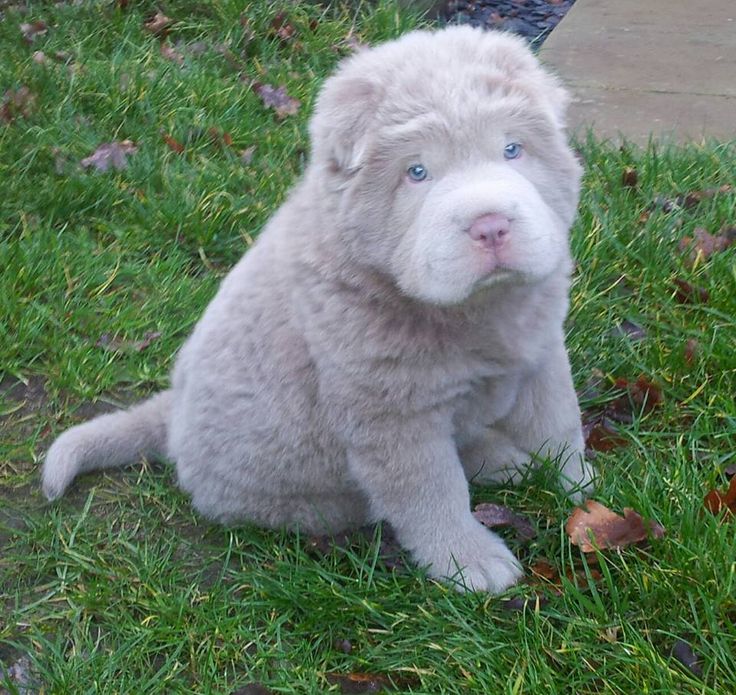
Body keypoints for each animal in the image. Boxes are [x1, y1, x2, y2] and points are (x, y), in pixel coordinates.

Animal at [40, 25, 596, 592]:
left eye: (512, 149)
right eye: (417, 172)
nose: (491, 226)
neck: (480, 311)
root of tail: (170, 414)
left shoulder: (542, 353)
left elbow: (559, 424)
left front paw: (579, 489)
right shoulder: (391, 414)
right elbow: (431, 493)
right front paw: (472, 563)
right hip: (302, 494)